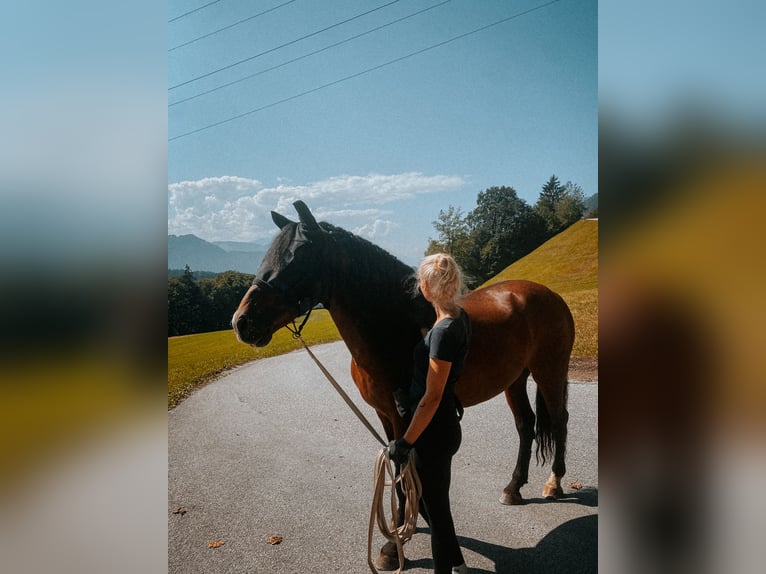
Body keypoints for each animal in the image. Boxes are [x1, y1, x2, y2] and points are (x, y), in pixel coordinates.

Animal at [234, 201, 576, 572]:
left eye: (298, 255)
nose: (242, 322)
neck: (397, 325)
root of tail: (547, 294)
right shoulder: (385, 414)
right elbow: (396, 467)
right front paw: (400, 530)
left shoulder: (404, 417)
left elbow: (402, 468)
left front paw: (395, 544)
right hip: (515, 379)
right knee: (526, 425)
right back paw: (513, 488)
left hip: (549, 371)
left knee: (559, 421)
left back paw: (554, 483)